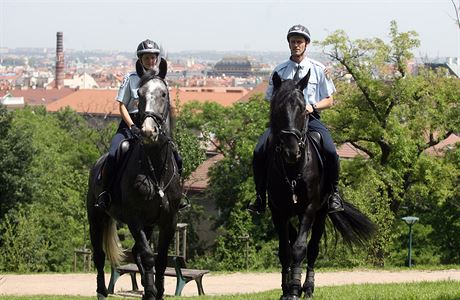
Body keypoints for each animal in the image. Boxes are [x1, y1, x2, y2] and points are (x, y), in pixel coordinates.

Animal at [86, 59, 181, 298]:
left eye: (163, 93)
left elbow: (160, 259)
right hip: (96, 217)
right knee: (99, 254)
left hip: (148, 224)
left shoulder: (169, 220)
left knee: (137, 252)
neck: (155, 169)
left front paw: (157, 291)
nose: (147, 131)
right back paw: (102, 291)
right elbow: (148, 255)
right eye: (139, 93)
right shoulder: (134, 219)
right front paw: (151, 292)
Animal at [266, 71, 378, 298]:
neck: (293, 170)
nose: (291, 151)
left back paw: (308, 287)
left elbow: (300, 248)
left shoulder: (310, 209)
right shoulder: (278, 211)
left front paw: (295, 288)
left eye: (303, 108)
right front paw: (286, 289)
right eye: (278, 108)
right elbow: (285, 250)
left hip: (322, 211)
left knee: (313, 248)